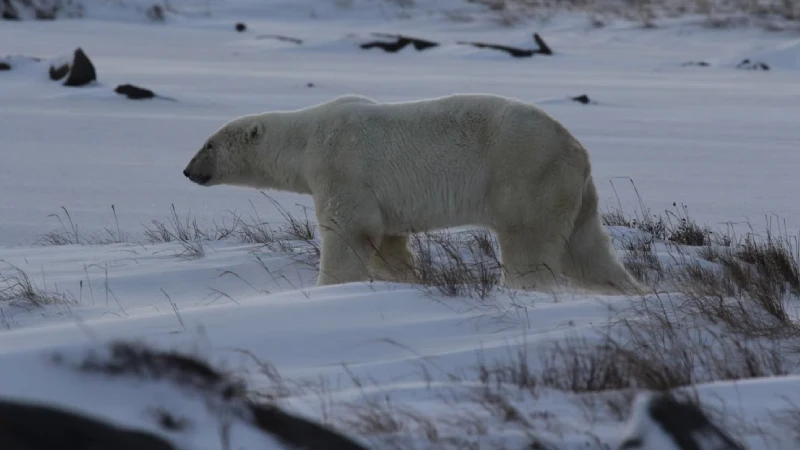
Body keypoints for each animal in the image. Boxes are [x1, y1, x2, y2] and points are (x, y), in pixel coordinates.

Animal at [183, 93, 642, 295]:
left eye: (208, 144)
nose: (188, 171)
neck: (306, 138)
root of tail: (576, 148)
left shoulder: (340, 166)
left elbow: (348, 229)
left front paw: (330, 285)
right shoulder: (382, 200)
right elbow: (388, 242)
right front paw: (404, 278)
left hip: (526, 174)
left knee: (528, 241)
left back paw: (524, 288)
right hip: (573, 190)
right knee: (587, 246)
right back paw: (626, 287)